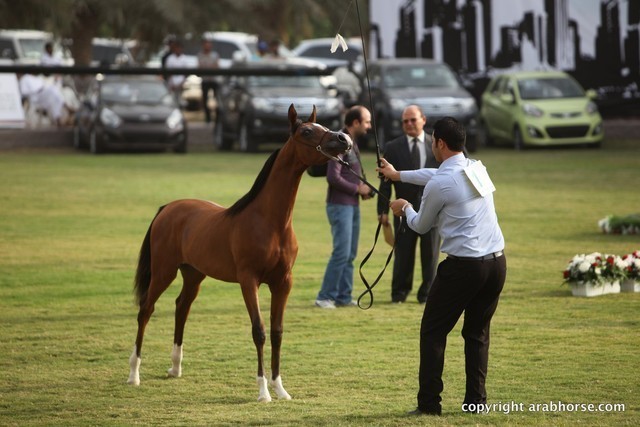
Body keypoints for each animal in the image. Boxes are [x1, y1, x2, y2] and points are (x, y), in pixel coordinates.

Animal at [127, 104, 353, 402]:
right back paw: (134, 374)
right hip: (164, 272)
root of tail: (167, 209)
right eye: (306, 131)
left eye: (324, 126)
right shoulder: (249, 281)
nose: (343, 139)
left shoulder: (283, 283)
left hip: (193, 275)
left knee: (181, 307)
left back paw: (175, 368)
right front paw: (263, 392)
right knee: (146, 310)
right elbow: (259, 331)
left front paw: (280, 389)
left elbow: (277, 332)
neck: (270, 222)